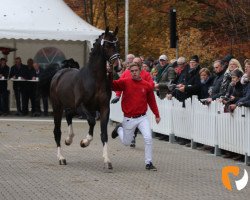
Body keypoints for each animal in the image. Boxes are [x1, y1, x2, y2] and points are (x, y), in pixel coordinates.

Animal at [38, 27, 120, 170]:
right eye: (107, 45)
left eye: (116, 44)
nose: (117, 66)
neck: (95, 79)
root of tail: (59, 72)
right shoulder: (82, 106)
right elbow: (92, 121)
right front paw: (85, 142)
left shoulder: (103, 108)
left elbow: (103, 133)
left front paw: (107, 160)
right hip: (58, 107)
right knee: (57, 130)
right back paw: (61, 157)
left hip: (73, 107)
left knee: (69, 115)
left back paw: (69, 139)